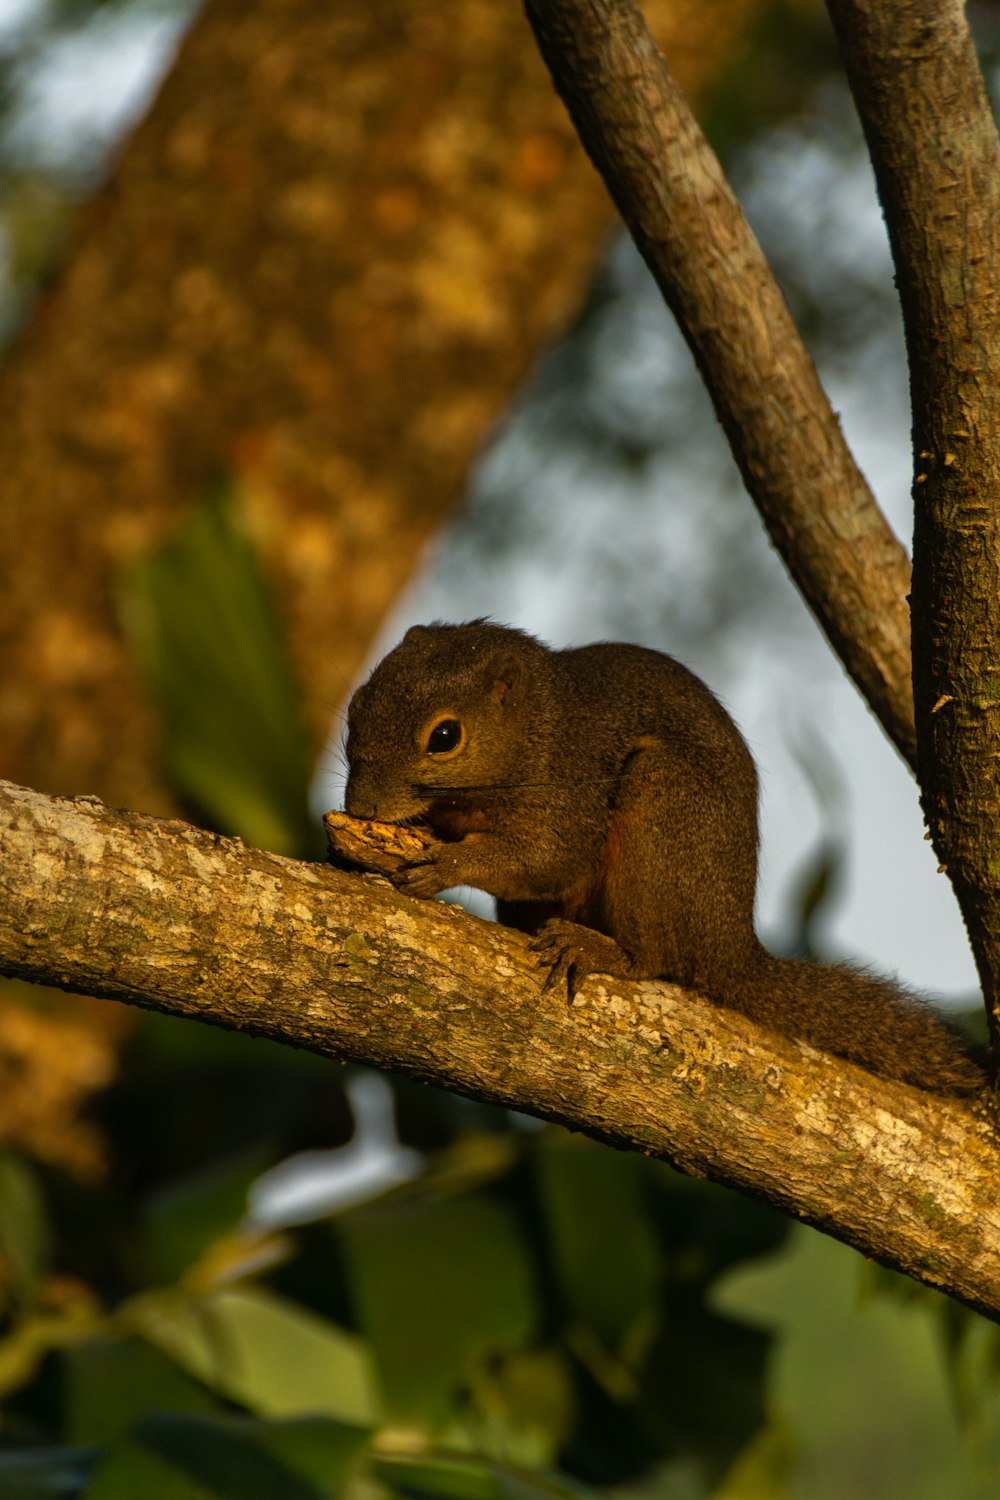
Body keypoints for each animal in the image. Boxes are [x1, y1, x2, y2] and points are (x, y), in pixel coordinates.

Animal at [344, 615, 983, 1098]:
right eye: (356, 707)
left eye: (444, 737)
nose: (357, 804)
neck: (533, 733)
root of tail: (727, 948)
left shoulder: (569, 789)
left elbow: (549, 860)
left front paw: (447, 865)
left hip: (663, 806)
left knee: (655, 958)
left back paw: (600, 948)